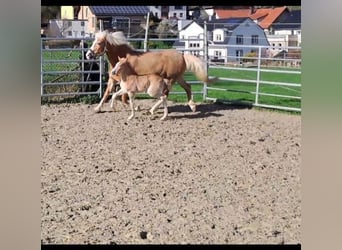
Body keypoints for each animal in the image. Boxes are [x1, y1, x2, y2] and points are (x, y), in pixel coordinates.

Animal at [86, 29, 216, 113]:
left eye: (99, 43)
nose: (88, 54)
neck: (123, 59)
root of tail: (182, 56)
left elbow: (123, 97)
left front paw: (135, 107)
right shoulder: (112, 79)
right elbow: (107, 93)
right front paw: (97, 109)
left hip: (171, 79)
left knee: (166, 93)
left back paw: (155, 109)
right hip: (178, 77)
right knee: (187, 87)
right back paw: (192, 106)